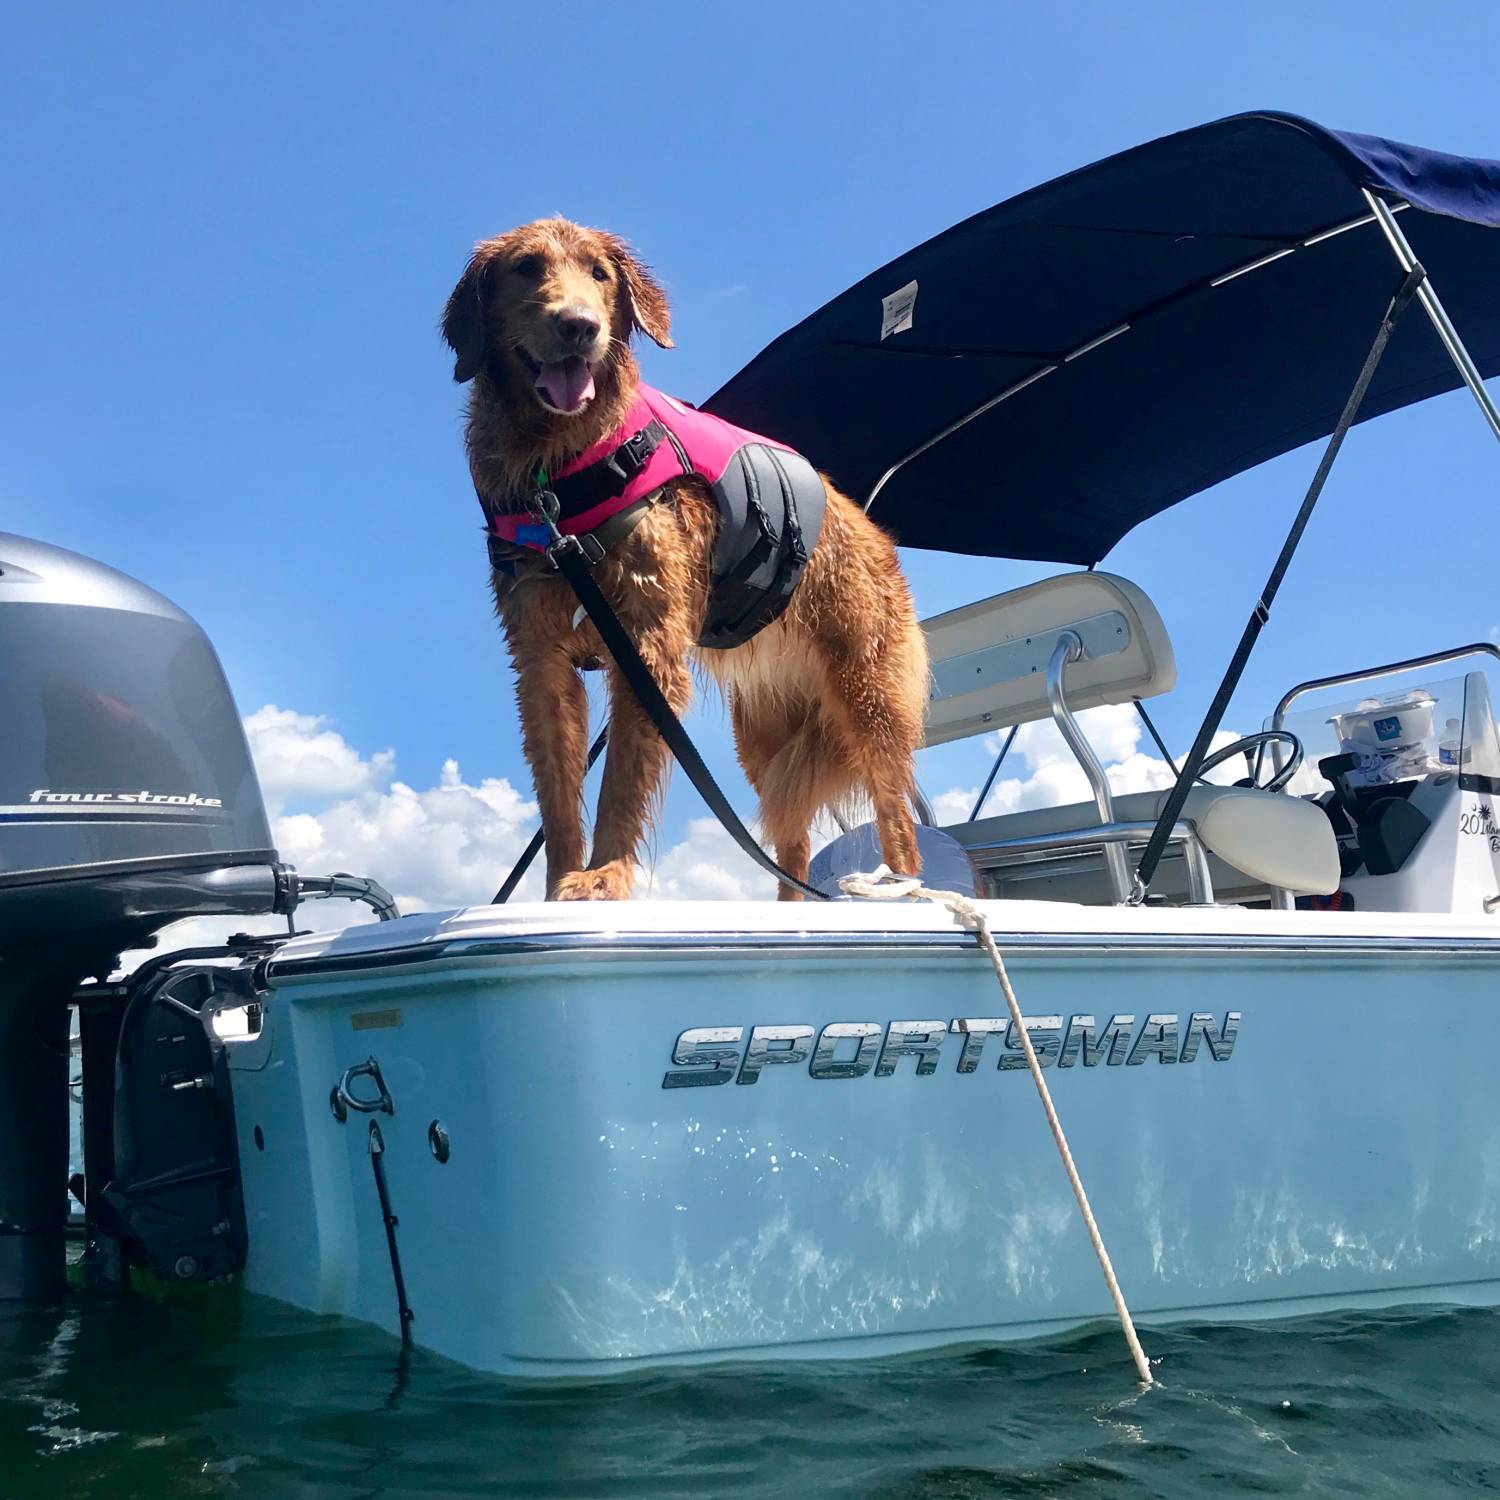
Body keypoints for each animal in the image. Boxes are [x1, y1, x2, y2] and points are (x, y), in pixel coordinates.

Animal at [444, 219, 930, 900]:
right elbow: (559, 793)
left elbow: (621, 781)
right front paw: (562, 879)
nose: (578, 326)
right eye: (526, 268)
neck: (558, 471)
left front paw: (605, 877)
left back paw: (905, 890)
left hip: (869, 702)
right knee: (793, 842)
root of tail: (877, 535)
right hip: (764, 739)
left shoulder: (647, 649)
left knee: (898, 823)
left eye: (600, 274)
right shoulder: (540, 660)